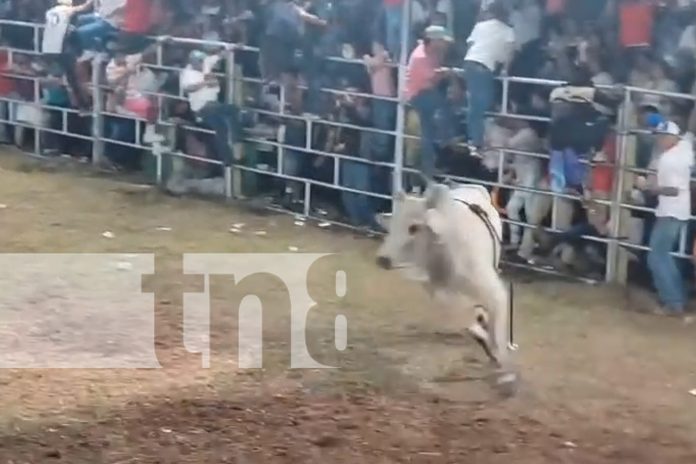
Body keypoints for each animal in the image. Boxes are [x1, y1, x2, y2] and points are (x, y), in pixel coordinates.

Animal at [376, 181, 516, 392]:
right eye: (392, 225)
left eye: (414, 227)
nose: (383, 259)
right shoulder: (436, 289)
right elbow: (460, 313)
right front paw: (478, 328)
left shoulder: (492, 291)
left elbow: (496, 330)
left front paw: (505, 372)